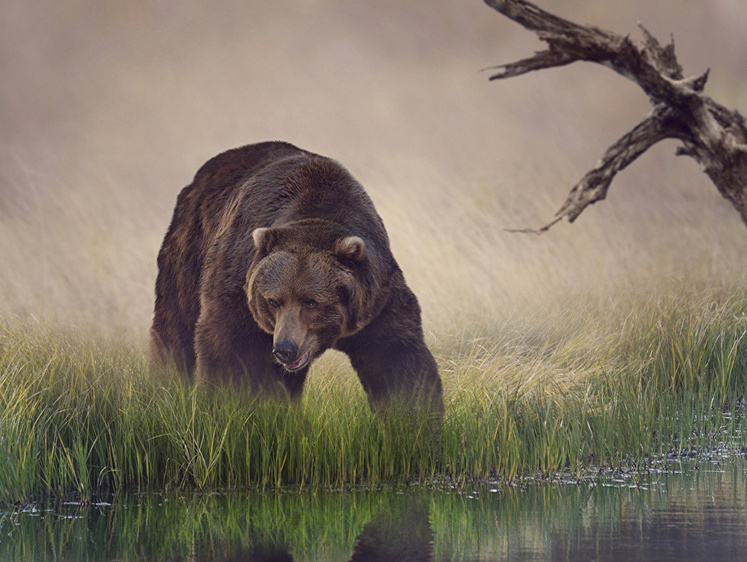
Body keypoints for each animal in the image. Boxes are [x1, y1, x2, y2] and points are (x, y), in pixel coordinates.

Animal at [152, 140, 444, 412]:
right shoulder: (238, 284)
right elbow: (228, 349)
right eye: (273, 300)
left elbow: (398, 358)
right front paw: (225, 404)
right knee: (176, 326)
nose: (285, 348)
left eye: (311, 302)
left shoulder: (376, 299)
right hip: (190, 250)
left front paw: (411, 417)